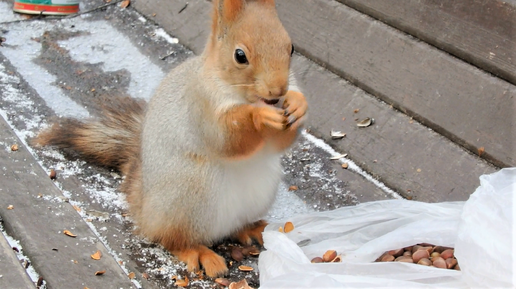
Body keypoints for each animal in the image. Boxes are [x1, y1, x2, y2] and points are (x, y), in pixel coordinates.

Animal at [35, 0, 306, 276]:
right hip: (187, 194)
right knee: (171, 239)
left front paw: (298, 103)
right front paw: (259, 114)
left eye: (291, 47)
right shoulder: (200, 106)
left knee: (233, 227)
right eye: (240, 56)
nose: (278, 90)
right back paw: (199, 252)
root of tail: (144, 209)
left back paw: (253, 228)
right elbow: (227, 138)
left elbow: (279, 141)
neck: (238, 92)